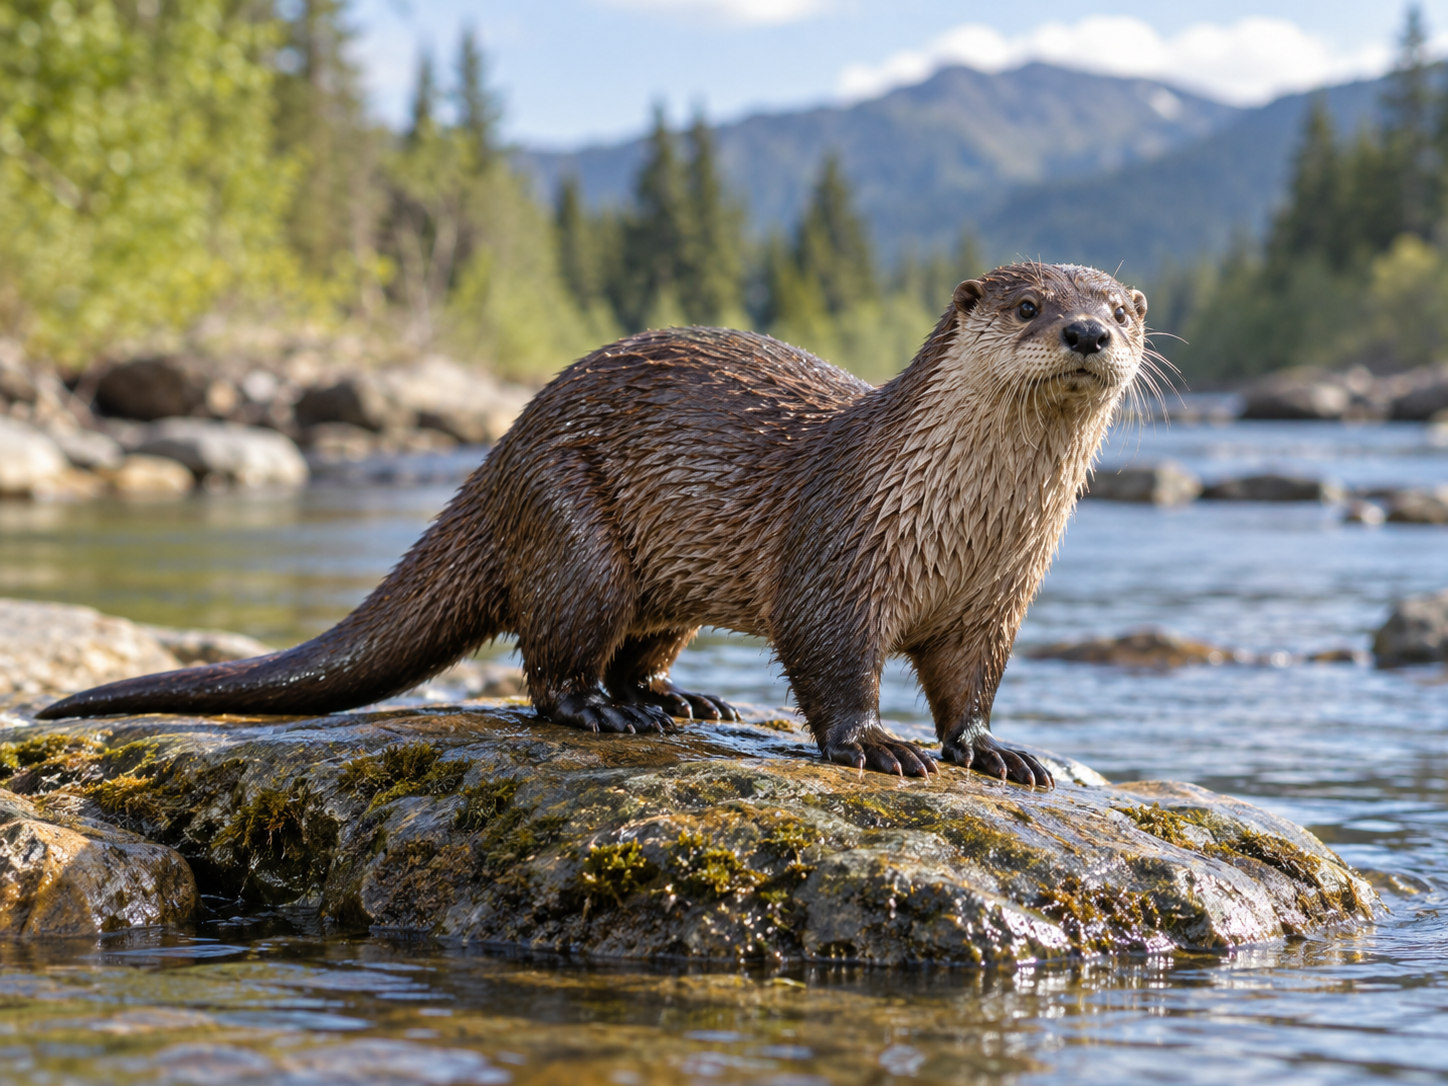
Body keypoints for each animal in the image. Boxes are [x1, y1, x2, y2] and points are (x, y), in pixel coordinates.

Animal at [40, 262, 1150, 786]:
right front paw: (875, 744)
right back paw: (606, 713)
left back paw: (680, 701)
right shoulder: (838, 554)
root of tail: (495, 460)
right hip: (570, 527)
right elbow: (831, 662)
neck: (961, 524)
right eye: (1026, 306)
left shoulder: (996, 601)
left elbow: (969, 687)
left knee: (634, 652)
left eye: (1119, 309)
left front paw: (997, 751)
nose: (1086, 331)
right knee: (553, 664)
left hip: (661, 589)